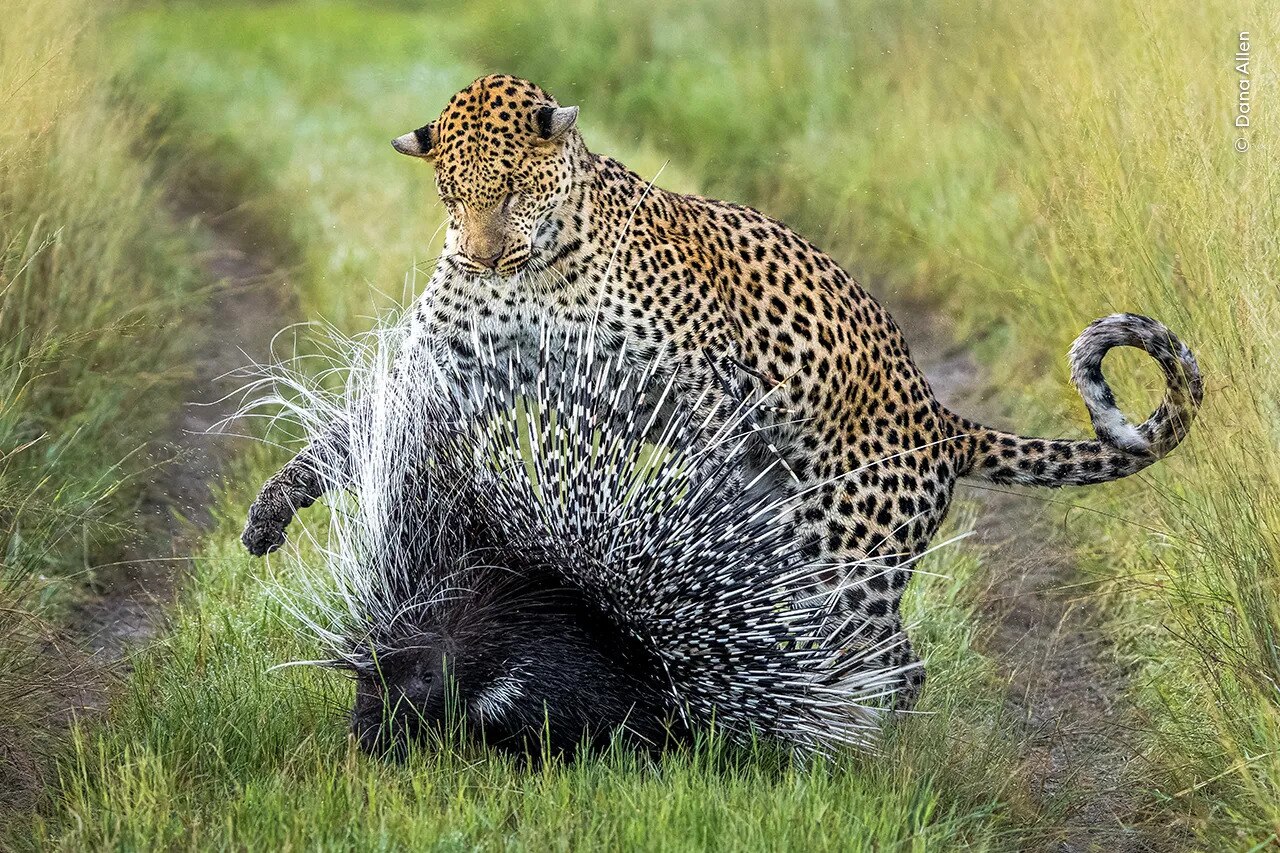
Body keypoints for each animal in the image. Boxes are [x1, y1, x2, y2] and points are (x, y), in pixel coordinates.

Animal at [238, 76, 1198, 706]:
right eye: (449, 195)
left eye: (509, 189)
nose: (480, 253)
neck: (530, 271)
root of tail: (942, 421)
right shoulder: (440, 369)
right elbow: (347, 434)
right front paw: (269, 512)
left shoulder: (708, 384)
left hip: (844, 557)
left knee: (888, 659)